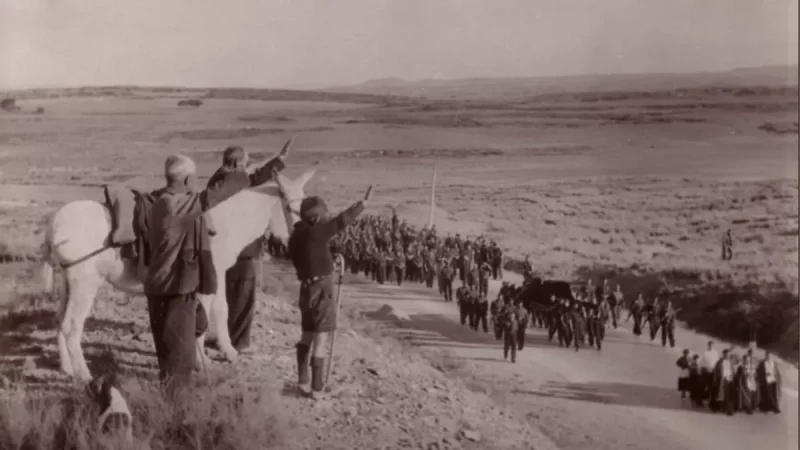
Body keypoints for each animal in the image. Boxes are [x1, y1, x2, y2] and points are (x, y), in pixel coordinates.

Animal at [39, 162, 312, 380]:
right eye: (290, 208)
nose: (293, 249)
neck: (228, 218)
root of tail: (54, 223)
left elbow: (217, 310)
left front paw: (222, 351)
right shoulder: (210, 277)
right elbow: (212, 313)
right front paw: (209, 358)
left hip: (69, 282)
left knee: (60, 319)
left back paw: (66, 367)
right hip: (85, 283)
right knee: (72, 325)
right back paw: (84, 376)